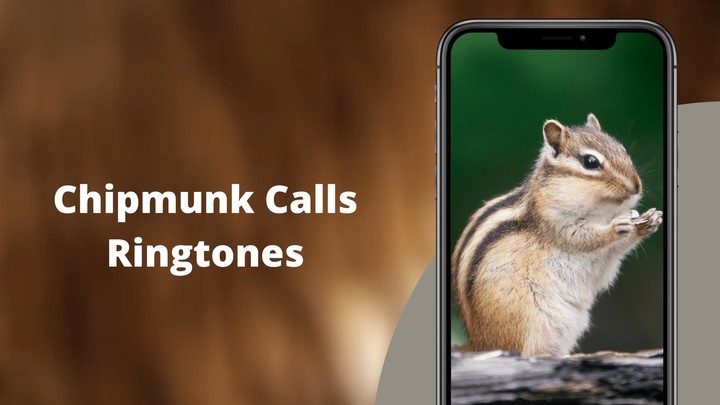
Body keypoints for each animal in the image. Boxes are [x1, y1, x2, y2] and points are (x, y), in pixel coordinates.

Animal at [451, 113, 662, 357]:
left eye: (622, 149)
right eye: (590, 162)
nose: (636, 187)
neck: (602, 211)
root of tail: (478, 343)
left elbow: (615, 250)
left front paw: (648, 222)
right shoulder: (556, 222)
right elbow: (583, 238)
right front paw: (614, 228)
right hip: (527, 320)